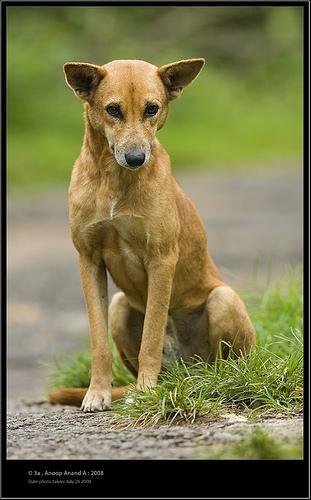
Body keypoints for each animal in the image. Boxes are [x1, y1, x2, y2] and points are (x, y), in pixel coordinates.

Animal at [49, 58, 256, 412]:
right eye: (113, 109)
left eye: (152, 109)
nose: (135, 158)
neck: (115, 181)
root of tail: (188, 372)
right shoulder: (88, 259)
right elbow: (98, 342)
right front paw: (98, 392)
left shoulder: (161, 259)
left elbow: (152, 335)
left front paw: (146, 392)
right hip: (119, 307)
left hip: (223, 300)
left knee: (226, 366)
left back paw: (209, 383)